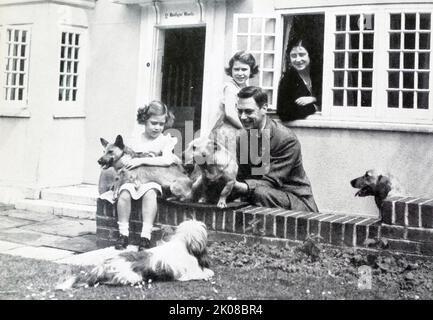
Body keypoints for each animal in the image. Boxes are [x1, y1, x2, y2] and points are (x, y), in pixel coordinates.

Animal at [55, 220, 214, 290]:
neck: (183, 243)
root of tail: (101, 267)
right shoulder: (187, 274)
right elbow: (203, 273)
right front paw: (208, 272)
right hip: (132, 277)